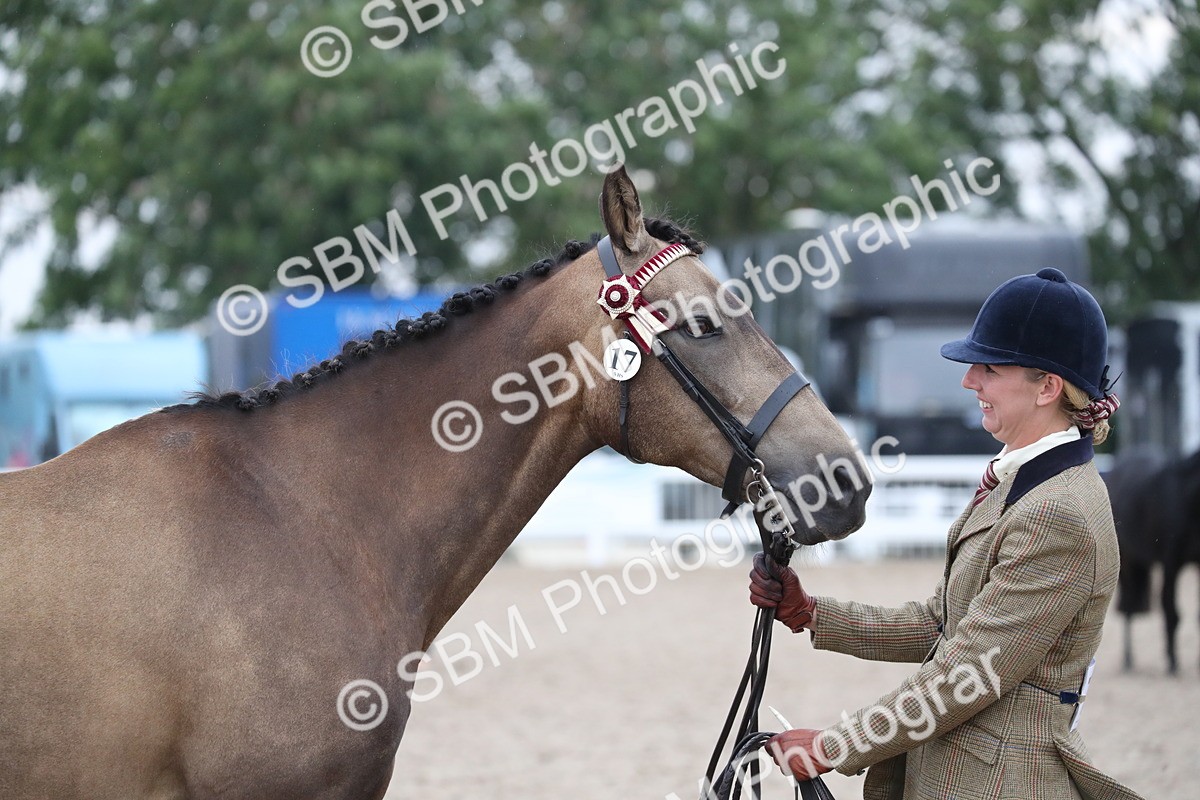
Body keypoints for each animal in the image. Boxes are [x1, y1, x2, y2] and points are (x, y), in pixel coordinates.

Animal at [1106, 447, 1200, 673]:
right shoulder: (1171, 563)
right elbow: (1171, 611)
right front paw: (1172, 661)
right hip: (1128, 563)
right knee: (1129, 607)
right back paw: (1128, 659)